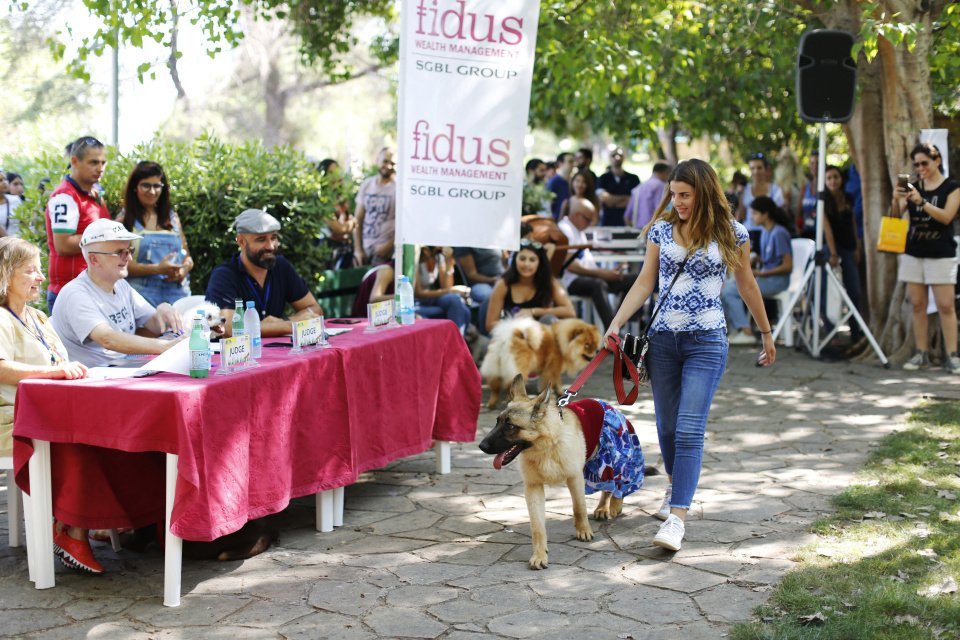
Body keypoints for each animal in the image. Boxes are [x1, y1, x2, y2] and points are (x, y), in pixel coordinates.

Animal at [478, 376, 648, 568]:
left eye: (511, 426)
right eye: (497, 421)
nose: (481, 446)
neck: (546, 447)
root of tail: (606, 404)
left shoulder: (575, 478)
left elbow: (579, 507)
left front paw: (583, 530)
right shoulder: (533, 488)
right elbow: (537, 527)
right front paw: (539, 554)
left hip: (614, 457)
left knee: (618, 481)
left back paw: (615, 503)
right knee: (607, 484)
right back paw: (602, 507)